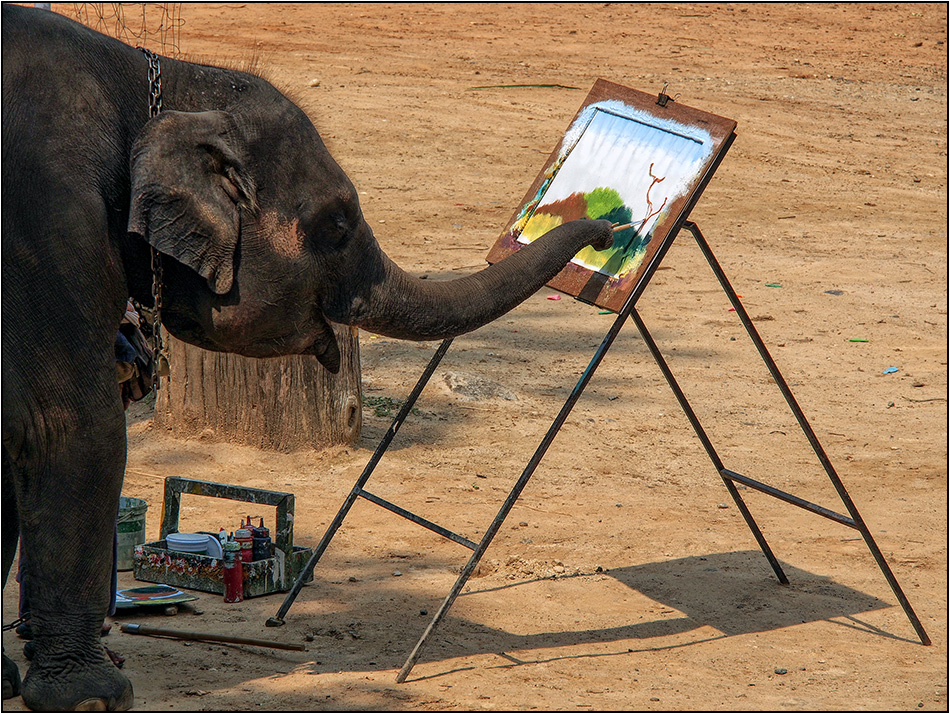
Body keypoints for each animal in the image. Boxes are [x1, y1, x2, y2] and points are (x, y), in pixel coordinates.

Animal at [0, 4, 616, 708]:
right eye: (338, 224)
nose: (610, 231)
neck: (158, 80)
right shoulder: (47, 220)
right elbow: (68, 425)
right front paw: (94, 696)